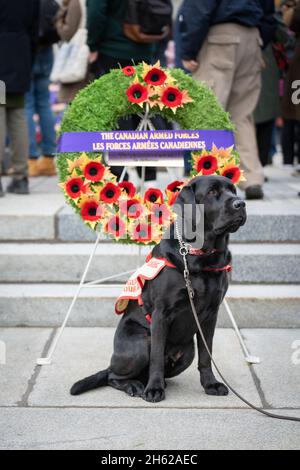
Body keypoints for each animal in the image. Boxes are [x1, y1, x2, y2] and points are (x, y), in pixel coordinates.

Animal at [71, 174, 246, 402]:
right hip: (140, 343)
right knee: (113, 376)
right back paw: (136, 386)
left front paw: (210, 384)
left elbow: (206, 356)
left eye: (233, 190)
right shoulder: (161, 313)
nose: (240, 203)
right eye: (212, 192)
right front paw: (154, 390)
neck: (200, 255)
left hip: (187, 352)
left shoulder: (211, 315)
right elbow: (155, 357)